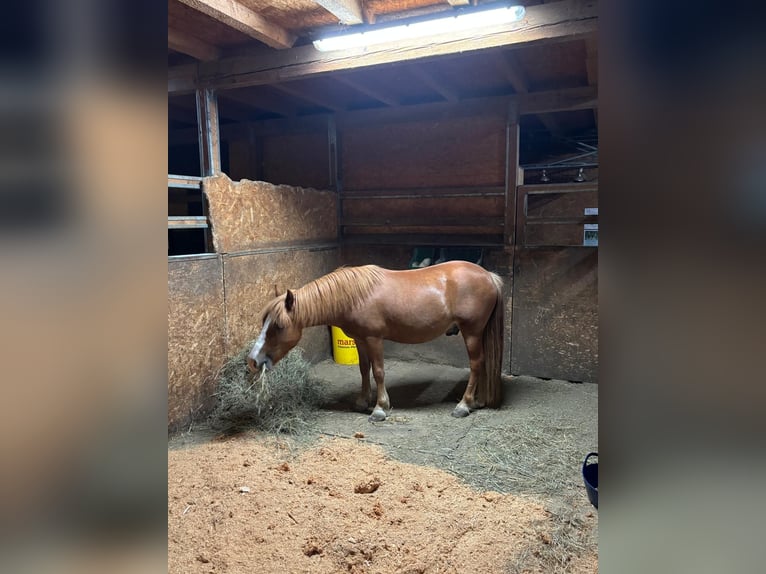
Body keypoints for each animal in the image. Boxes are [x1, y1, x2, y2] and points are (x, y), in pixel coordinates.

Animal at [247, 260, 504, 421]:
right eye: (264, 321)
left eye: (279, 326)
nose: (253, 360)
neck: (355, 295)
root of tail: (488, 276)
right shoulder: (360, 339)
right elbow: (364, 369)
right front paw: (362, 401)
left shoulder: (374, 339)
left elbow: (379, 371)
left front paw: (380, 408)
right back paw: (478, 401)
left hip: (471, 332)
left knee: (476, 365)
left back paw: (464, 405)